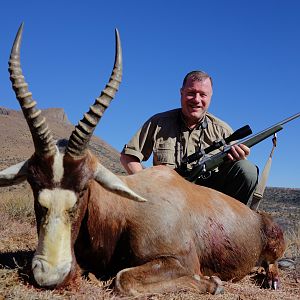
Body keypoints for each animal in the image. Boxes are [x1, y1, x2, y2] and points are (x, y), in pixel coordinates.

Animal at [0, 24, 284, 296]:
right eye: (33, 185)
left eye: (83, 188)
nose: (49, 276)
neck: (125, 209)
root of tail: (259, 217)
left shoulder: (182, 261)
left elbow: (123, 279)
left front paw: (213, 283)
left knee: (272, 263)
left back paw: (270, 278)